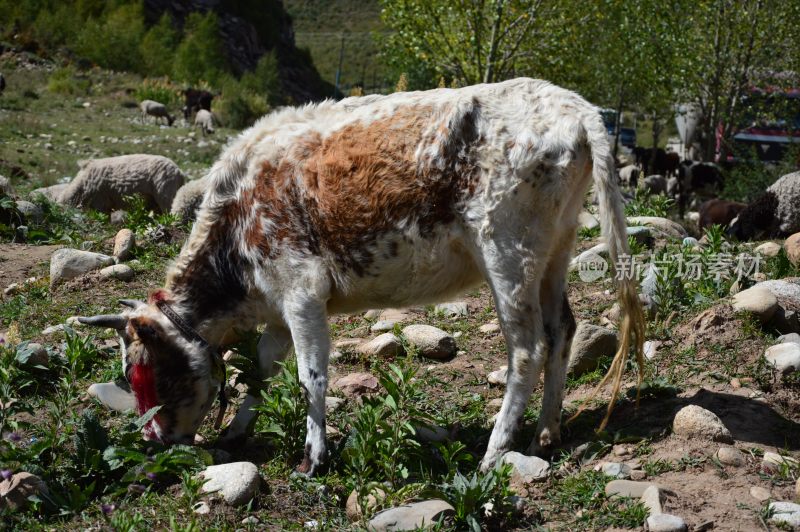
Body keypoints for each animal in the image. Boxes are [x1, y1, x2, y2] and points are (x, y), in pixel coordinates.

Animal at [78, 78, 648, 474]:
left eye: (139, 371)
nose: (152, 441)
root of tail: (574, 107)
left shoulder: (303, 293)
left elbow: (310, 375)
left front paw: (313, 457)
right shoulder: (278, 309)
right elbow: (261, 371)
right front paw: (239, 428)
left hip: (508, 253)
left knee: (527, 348)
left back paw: (495, 449)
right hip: (555, 250)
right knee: (562, 331)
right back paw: (546, 434)